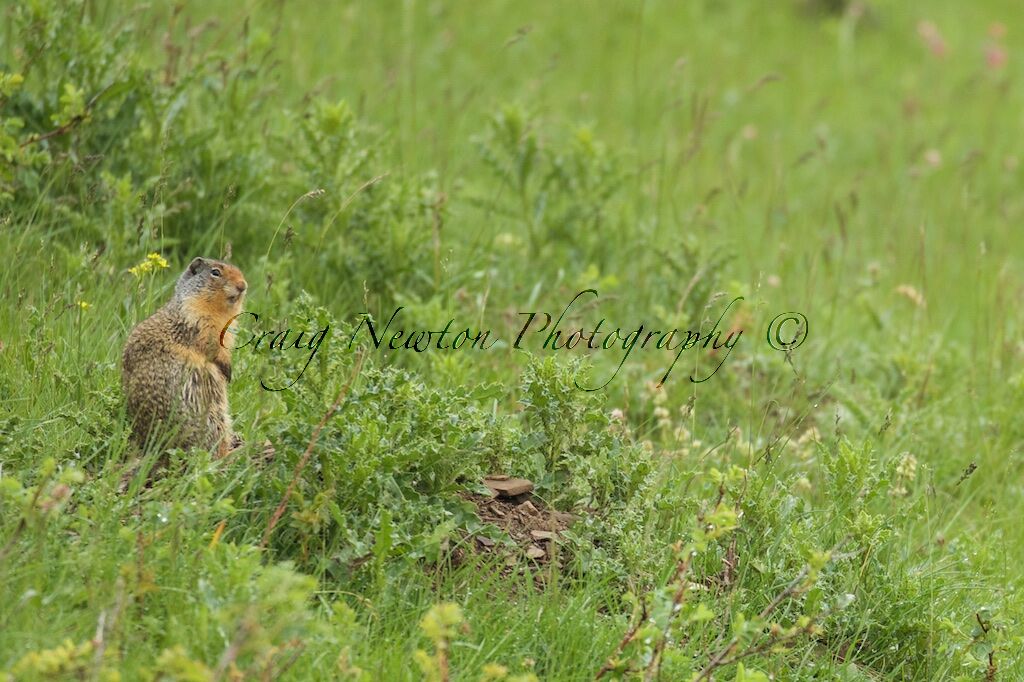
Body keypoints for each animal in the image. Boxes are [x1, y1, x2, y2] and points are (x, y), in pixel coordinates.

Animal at [122, 256, 247, 458]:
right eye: (215, 272)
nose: (243, 285)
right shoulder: (198, 321)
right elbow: (211, 346)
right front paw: (227, 370)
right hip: (212, 414)